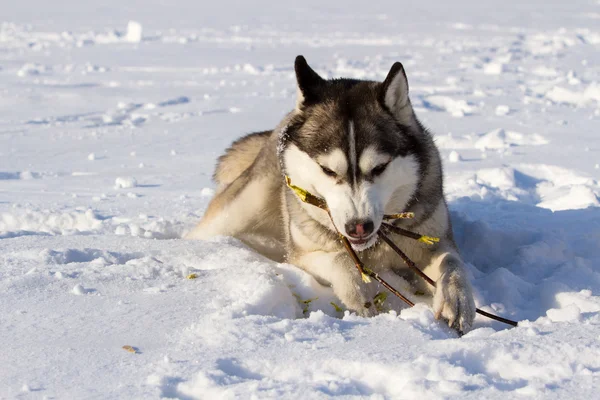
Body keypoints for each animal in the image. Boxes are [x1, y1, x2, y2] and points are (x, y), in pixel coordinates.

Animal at [188, 55, 478, 332]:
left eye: (379, 168)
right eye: (327, 170)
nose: (358, 227)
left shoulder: (433, 240)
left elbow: (451, 263)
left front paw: (456, 299)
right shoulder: (300, 256)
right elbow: (339, 259)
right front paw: (359, 296)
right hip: (245, 205)